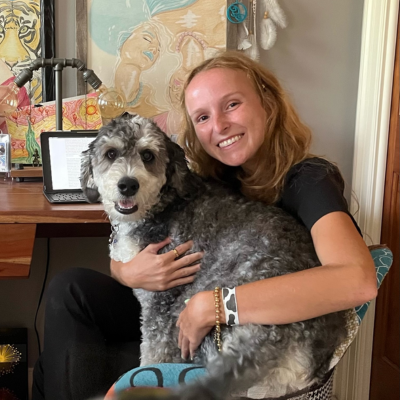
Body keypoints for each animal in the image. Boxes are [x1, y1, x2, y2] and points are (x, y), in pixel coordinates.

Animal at [80, 114, 346, 400]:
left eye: (148, 155)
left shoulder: (159, 307)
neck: (162, 204)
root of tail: (275, 335)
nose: (128, 185)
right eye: (111, 153)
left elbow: (152, 354)